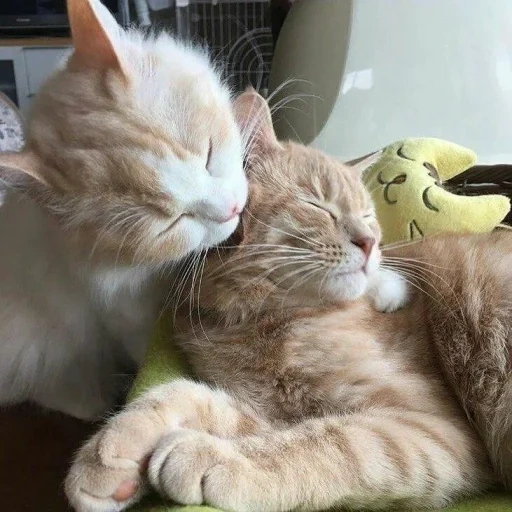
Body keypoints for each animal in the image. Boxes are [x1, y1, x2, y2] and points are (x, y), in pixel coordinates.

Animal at [65, 90, 508, 510]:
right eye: (316, 204)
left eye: (367, 215)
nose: (370, 242)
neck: (259, 323)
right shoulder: (267, 410)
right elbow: (184, 394)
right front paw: (112, 448)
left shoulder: (429, 426)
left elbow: (331, 443)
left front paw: (218, 458)